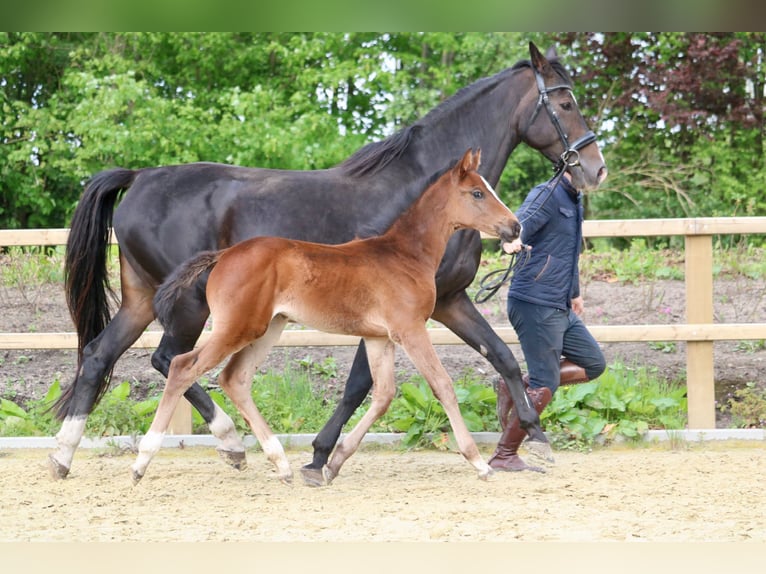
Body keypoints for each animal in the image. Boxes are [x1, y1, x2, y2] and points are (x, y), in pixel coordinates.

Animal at [135, 150, 524, 486]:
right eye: (477, 192)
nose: (515, 227)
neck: (405, 254)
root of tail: (224, 255)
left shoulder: (379, 337)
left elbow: (383, 394)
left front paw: (333, 462)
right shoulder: (409, 329)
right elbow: (442, 385)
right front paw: (478, 462)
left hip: (268, 328)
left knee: (234, 378)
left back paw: (281, 463)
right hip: (238, 328)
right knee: (182, 366)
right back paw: (143, 461)